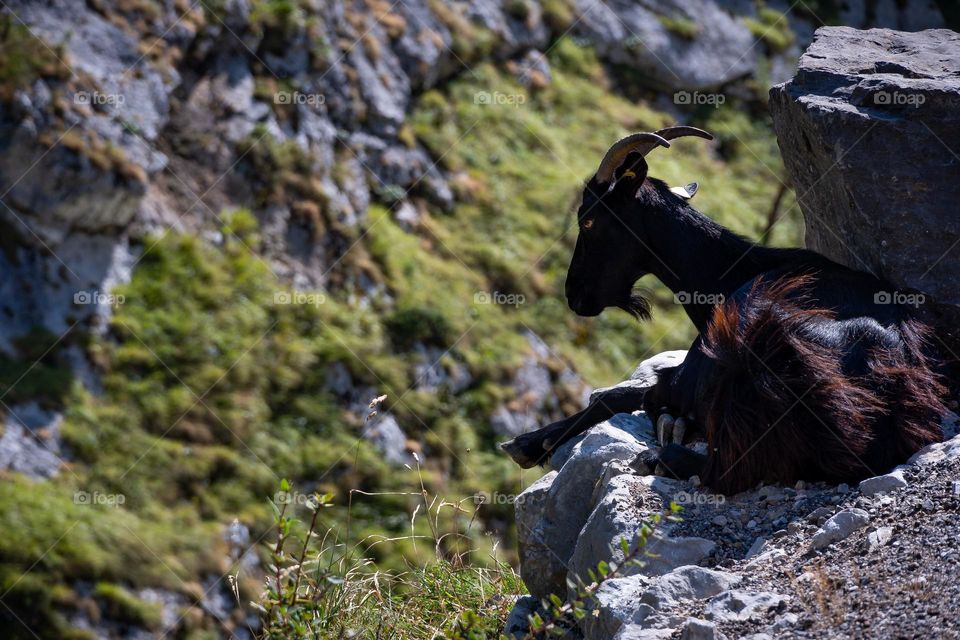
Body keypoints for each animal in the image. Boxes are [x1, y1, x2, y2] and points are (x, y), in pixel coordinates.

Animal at [501, 126, 947, 494]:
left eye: (589, 221)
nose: (575, 295)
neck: (730, 274)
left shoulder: (688, 370)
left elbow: (616, 396)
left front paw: (529, 442)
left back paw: (659, 455)